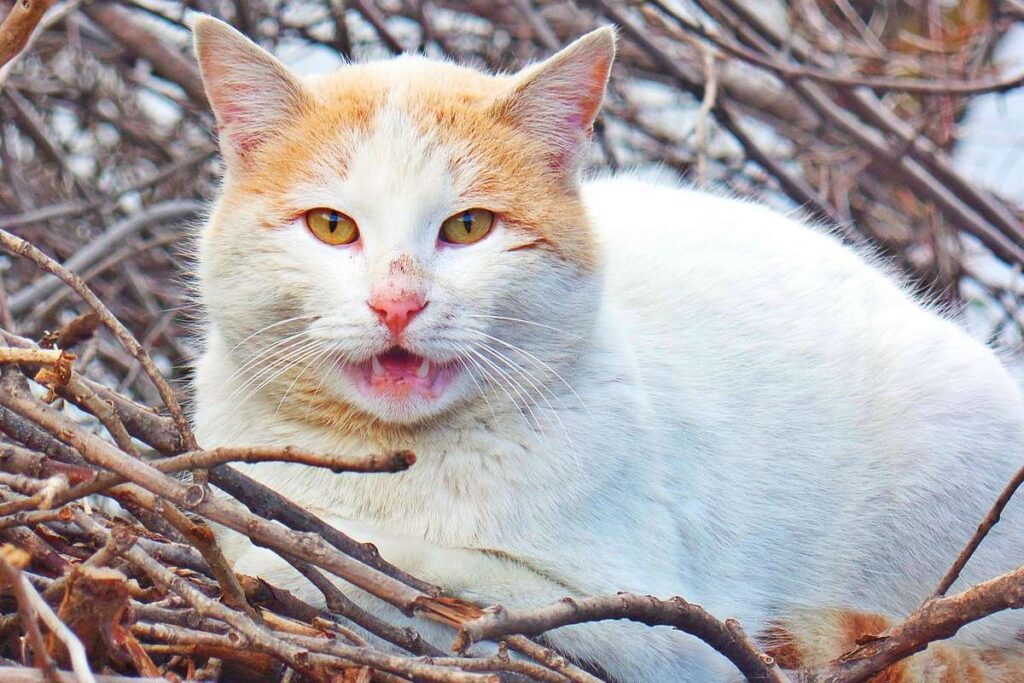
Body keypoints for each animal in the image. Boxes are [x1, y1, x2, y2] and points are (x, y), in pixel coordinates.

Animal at [190, 15, 1024, 683]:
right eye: (332, 226)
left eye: (468, 227)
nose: (398, 302)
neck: (385, 456)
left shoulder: (674, 631)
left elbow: (415, 575)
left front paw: (286, 552)